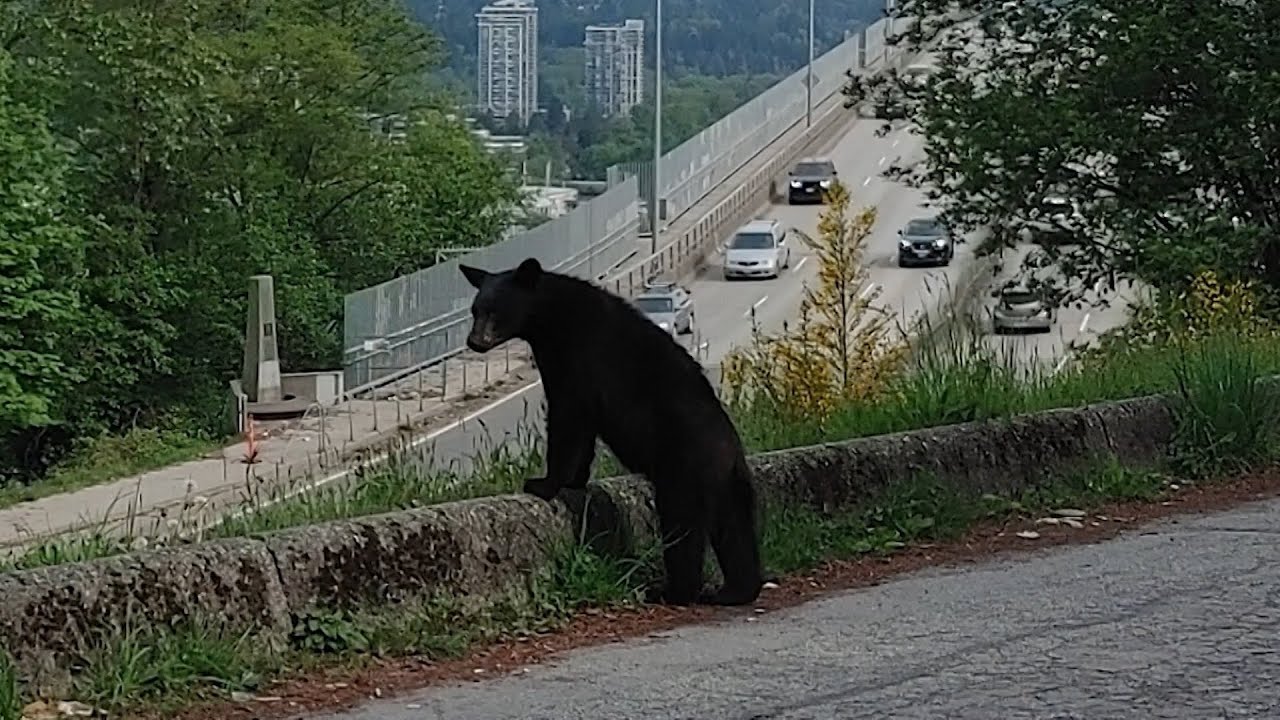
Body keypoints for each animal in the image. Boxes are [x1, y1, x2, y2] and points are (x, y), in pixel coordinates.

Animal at [459, 257, 765, 606]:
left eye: (495, 311)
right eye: (475, 310)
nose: (474, 342)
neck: (549, 317)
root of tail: (730, 453)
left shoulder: (576, 357)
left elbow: (568, 417)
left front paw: (543, 483)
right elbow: (583, 432)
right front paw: (575, 481)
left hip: (684, 469)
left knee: (682, 527)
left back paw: (672, 591)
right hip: (730, 486)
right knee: (735, 531)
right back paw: (735, 591)